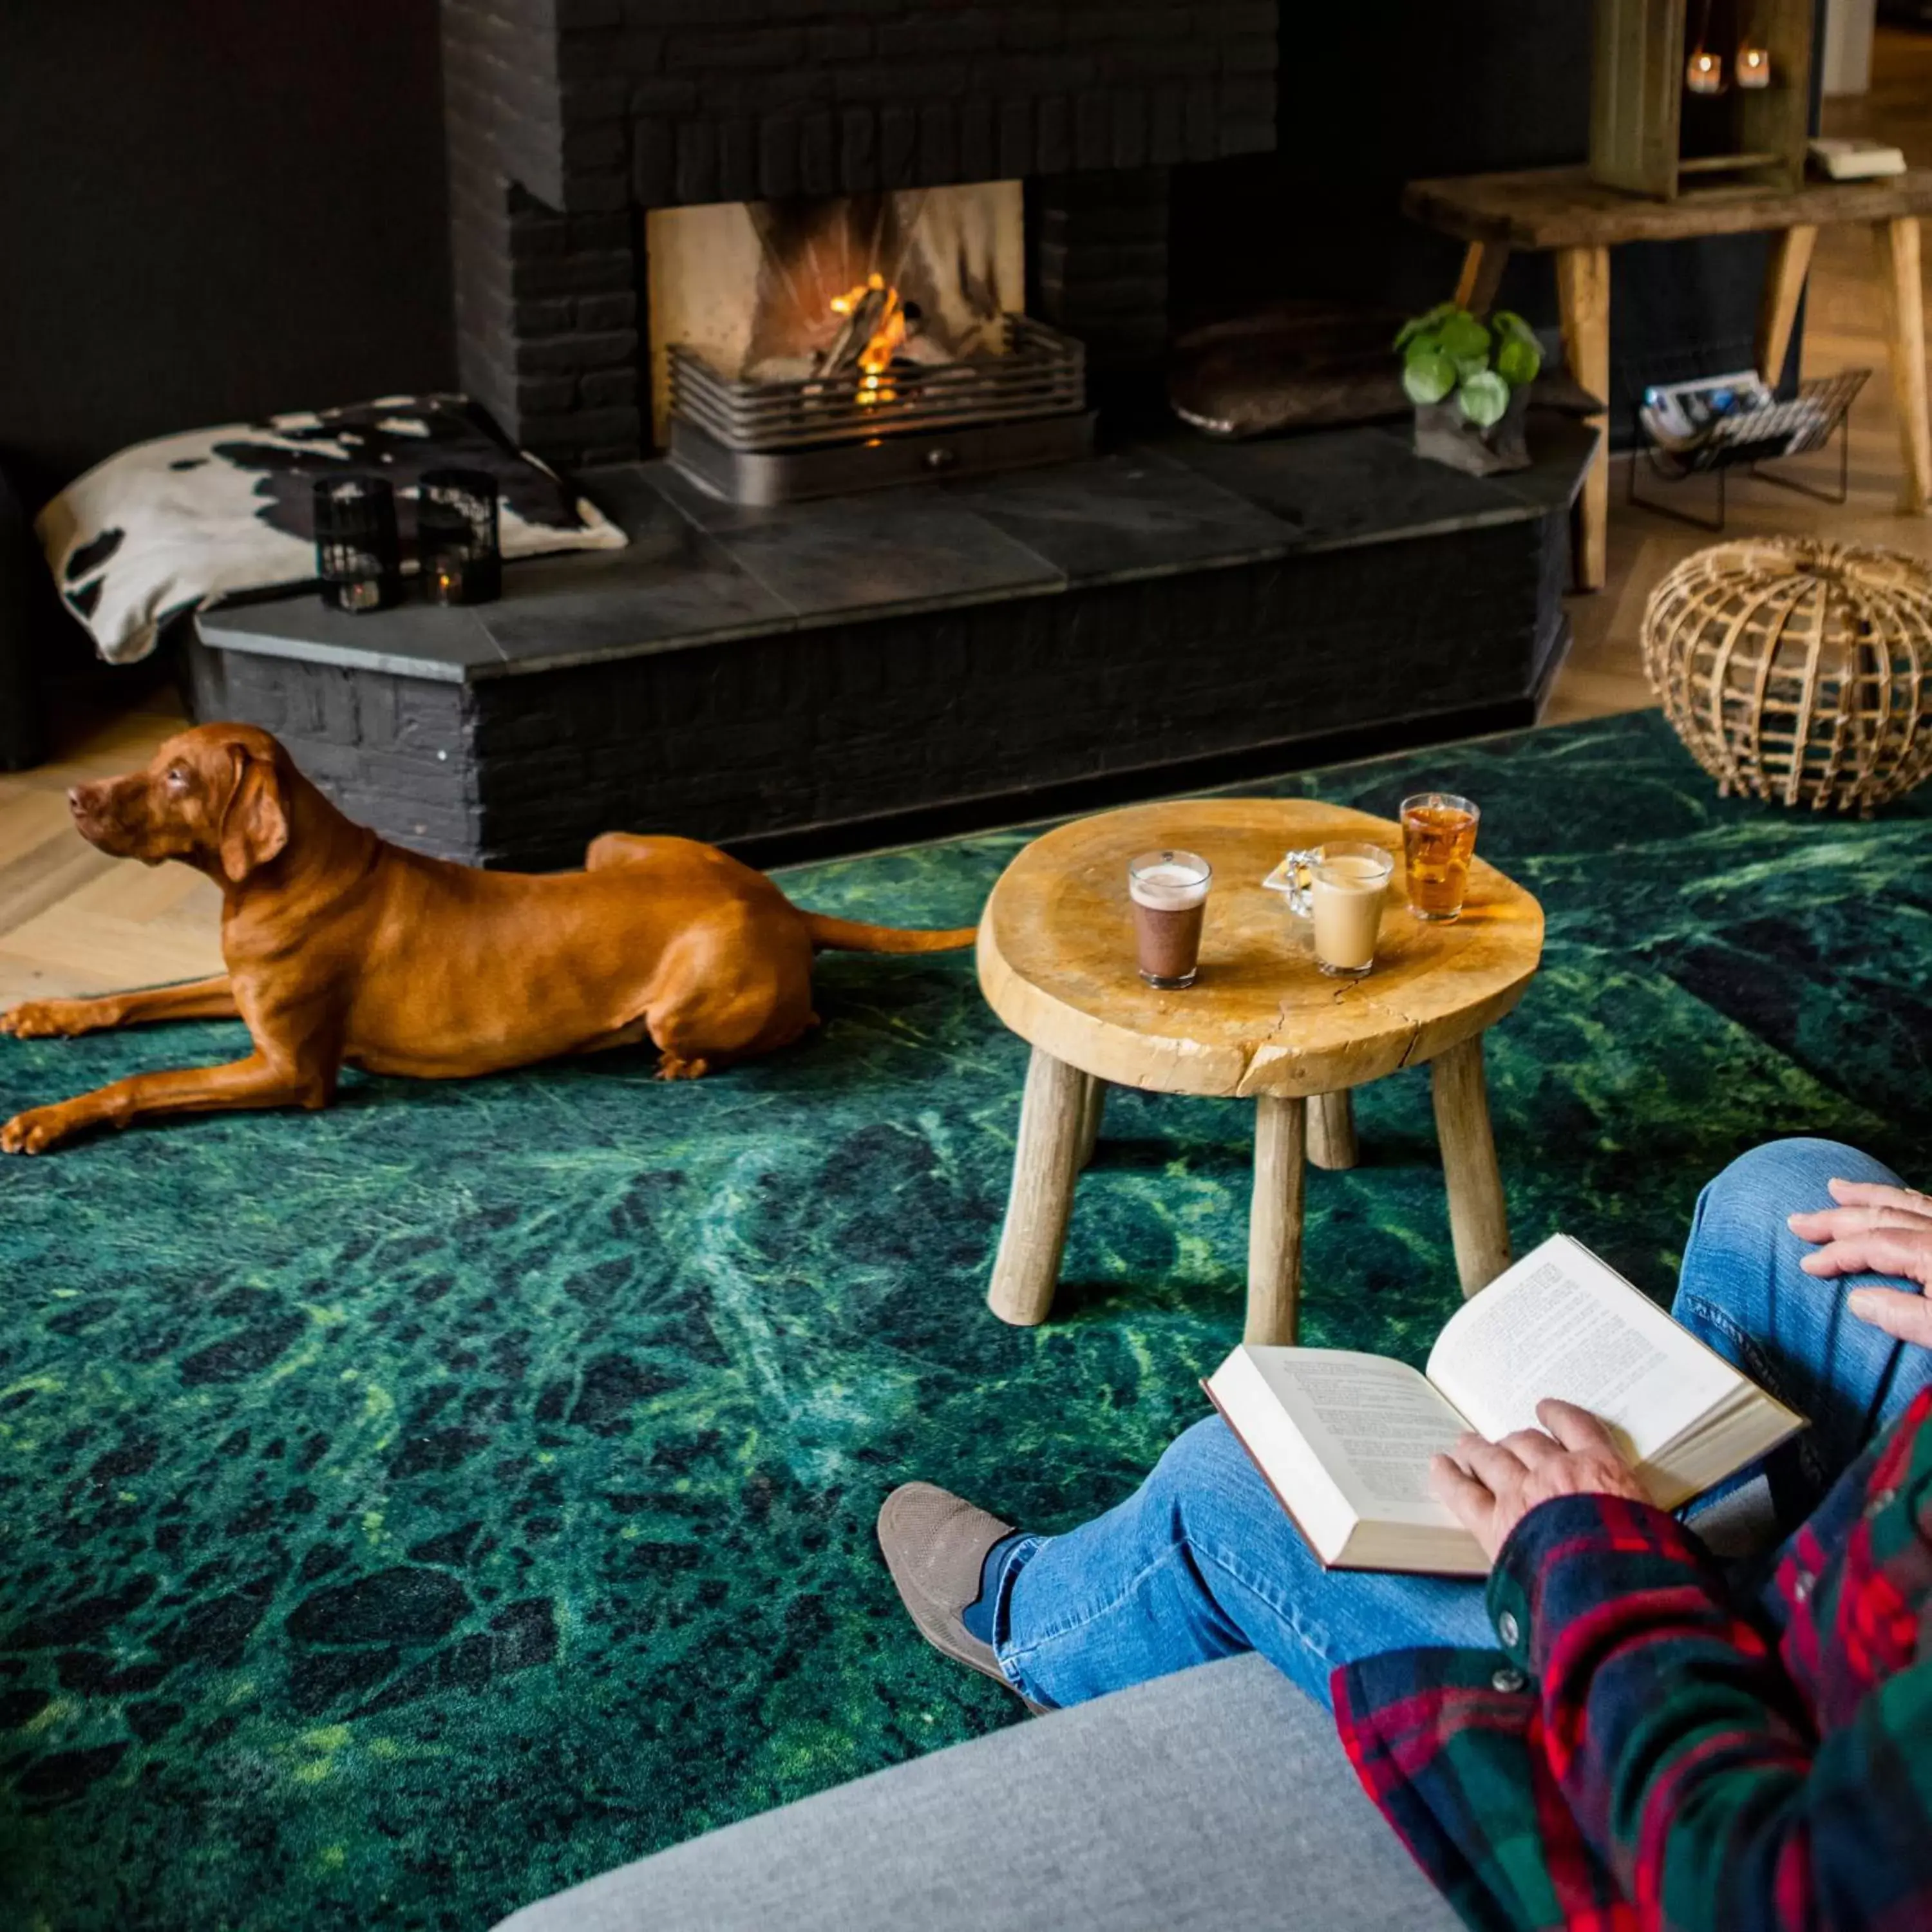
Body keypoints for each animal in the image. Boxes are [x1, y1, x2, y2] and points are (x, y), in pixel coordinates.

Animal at [0, 723, 974, 1144]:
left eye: (177, 777)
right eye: (156, 760)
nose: (74, 798)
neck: (275, 883)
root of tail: (779, 901)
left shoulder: (290, 1072)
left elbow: (142, 1082)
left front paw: (47, 1117)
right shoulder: (238, 995)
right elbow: (134, 1003)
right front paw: (48, 1016)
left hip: (682, 1003)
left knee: (787, 1023)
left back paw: (683, 1060)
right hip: (609, 842)